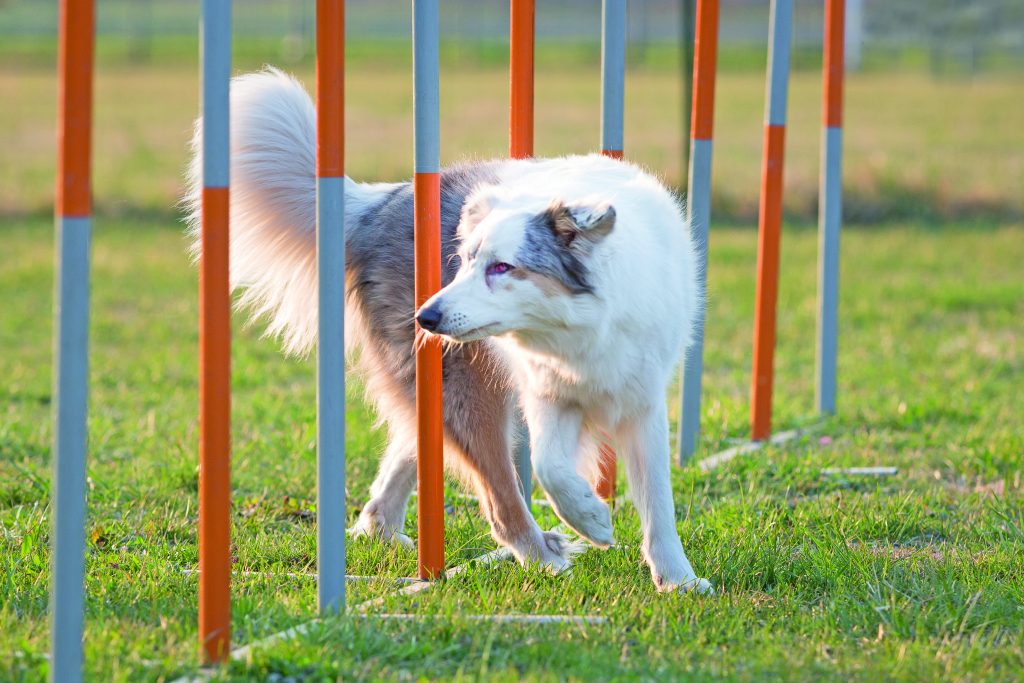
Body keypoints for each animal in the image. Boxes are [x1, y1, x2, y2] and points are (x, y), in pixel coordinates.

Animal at [186, 68, 712, 593]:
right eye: (463, 261)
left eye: (502, 267)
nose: (426, 318)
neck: (583, 327)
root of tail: (381, 203)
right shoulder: (546, 392)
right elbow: (548, 467)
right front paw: (593, 519)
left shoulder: (640, 401)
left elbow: (657, 502)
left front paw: (678, 580)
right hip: (468, 387)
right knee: (499, 500)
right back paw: (542, 557)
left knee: (409, 457)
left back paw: (388, 533)